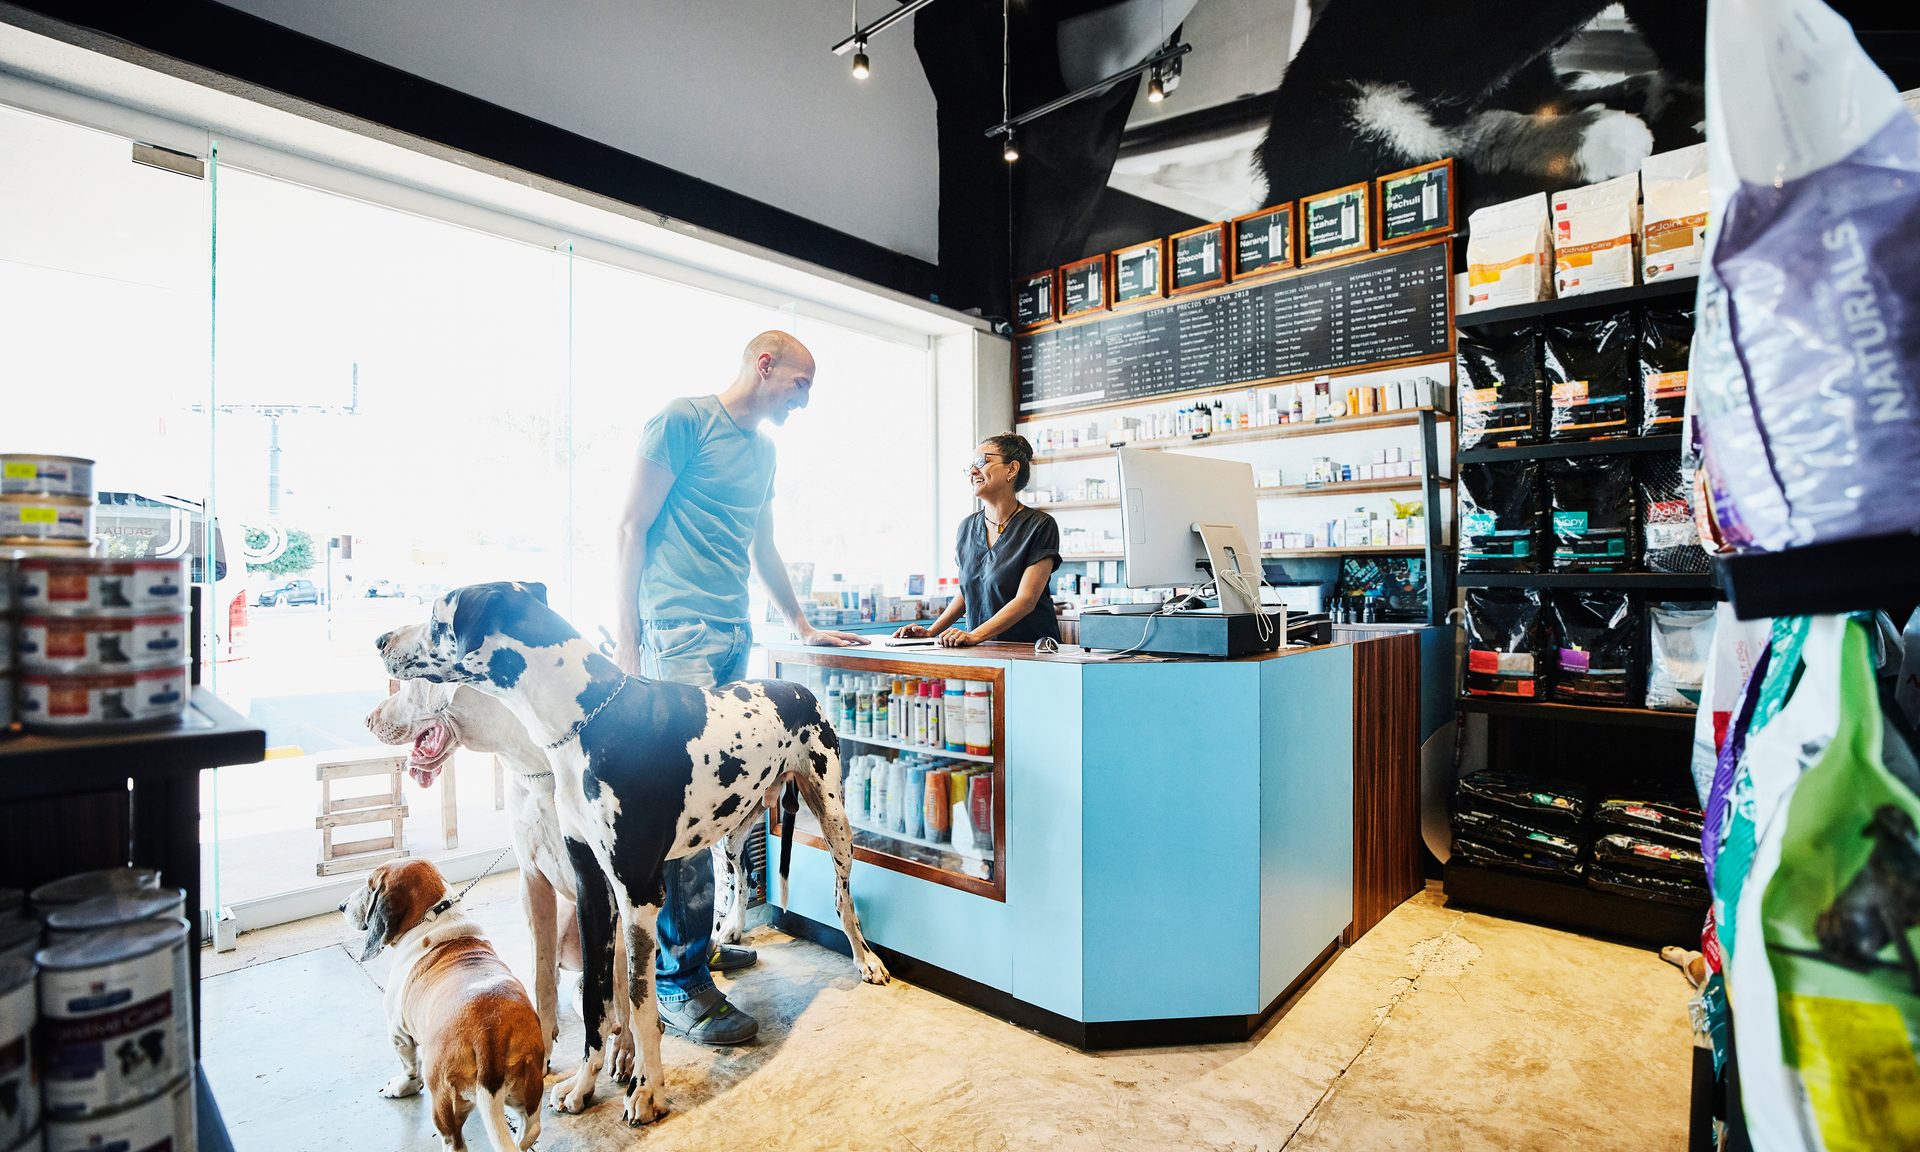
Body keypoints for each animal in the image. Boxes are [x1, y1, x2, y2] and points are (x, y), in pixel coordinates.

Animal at [339, 858, 546, 1152]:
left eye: (370, 887)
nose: (341, 906)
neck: (434, 916)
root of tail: (488, 1036)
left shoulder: (399, 1034)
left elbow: (409, 1066)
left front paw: (401, 1087)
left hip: (444, 1103)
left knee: (455, 1142)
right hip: (528, 1091)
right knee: (531, 1130)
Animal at [366, 679, 632, 1076]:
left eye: (412, 684)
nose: (368, 719)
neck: (537, 764)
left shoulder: (611, 885)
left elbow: (625, 982)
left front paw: (627, 1048)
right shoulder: (533, 880)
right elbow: (540, 976)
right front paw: (542, 1039)